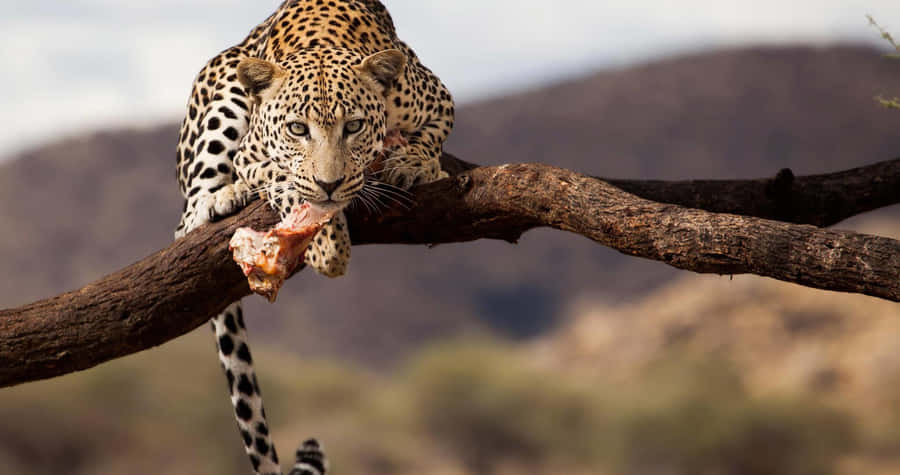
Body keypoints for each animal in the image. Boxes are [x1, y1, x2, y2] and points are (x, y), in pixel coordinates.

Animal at [172, 1, 454, 474]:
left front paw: (414, 164)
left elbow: (430, 137)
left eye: (354, 126)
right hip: (224, 96)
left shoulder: (439, 101)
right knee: (186, 221)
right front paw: (326, 244)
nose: (330, 182)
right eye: (297, 129)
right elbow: (284, 181)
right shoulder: (253, 156)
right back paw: (220, 199)